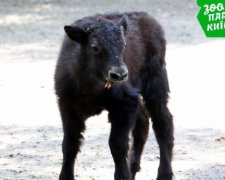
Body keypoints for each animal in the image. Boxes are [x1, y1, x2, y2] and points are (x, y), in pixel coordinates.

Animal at [54, 11, 174, 180]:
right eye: (95, 47)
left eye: (124, 44)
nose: (120, 74)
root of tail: (149, 18)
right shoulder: (67, 107)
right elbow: (70, 145)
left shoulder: (124, 105)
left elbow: (117, 145)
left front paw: (122, 176)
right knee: (143, 122)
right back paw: (133, 168)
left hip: (156, 87)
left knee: (163, 122)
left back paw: (164, 173)